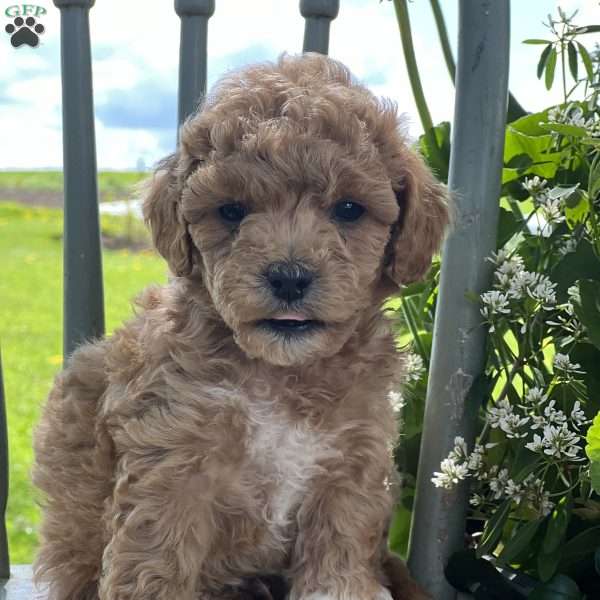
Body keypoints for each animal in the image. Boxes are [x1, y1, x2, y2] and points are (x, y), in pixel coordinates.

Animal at [32, 55, 446, 600]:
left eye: (349, 209)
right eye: (231, 211)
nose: (289, 277)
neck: (283, 374)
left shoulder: (349, 469)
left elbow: (337, 561)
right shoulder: (173, 465)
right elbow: (156, 564)